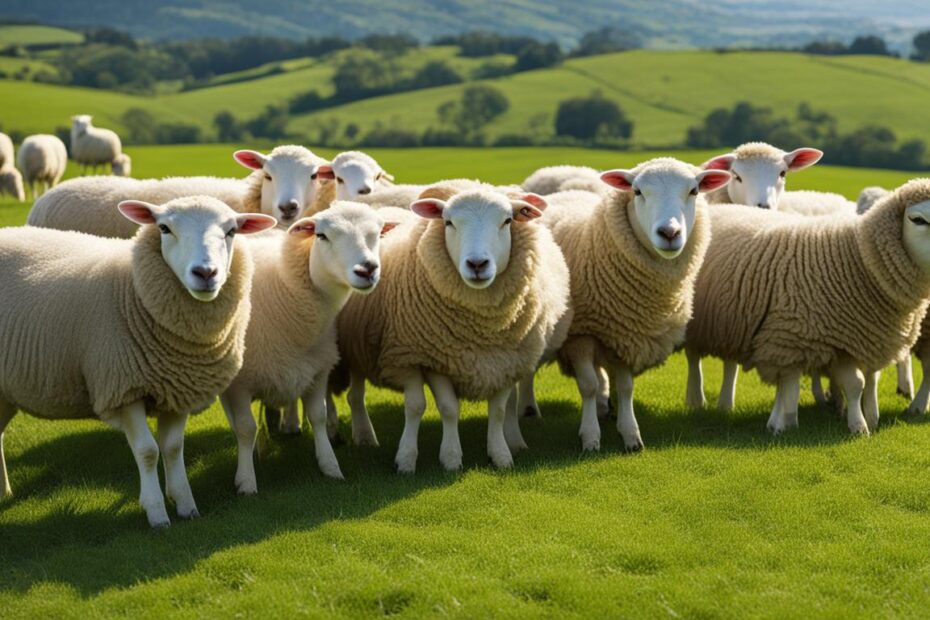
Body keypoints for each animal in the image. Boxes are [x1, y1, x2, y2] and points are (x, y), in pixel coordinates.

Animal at [0, 196, 276, 527]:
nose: (205, 273)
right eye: (164, 228)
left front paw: (185, 505)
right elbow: (147, 451)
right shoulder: (124, 388)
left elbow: (172, 447)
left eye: (232, 231)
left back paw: (4, 492)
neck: (134, 289)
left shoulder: (180, 388)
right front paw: (156, 513)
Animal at [222, 202, 397, 491]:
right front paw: (246, 481)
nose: (367, 270)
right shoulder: (240, 383)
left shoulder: (318, 370)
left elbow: (319, 416)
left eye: (378, 234)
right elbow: (246, 428)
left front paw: (330, 466)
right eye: (321, 235)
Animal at [335, 189, 571, 472]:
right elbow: (443, 408)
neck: (481, 331)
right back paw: (364, 435)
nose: (477, 264)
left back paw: (514, 440)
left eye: (507, 221)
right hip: (356, 348)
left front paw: (501, 455)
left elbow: (499, 410)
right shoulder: (430, 359)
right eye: (448, 222)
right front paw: (445, 458)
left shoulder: (505, 361)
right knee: (356, 396)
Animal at [536, 158, 729, 451]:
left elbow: (626, 387)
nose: (669, 233)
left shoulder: (626, 332)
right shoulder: (580, 334)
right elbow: (588, 385)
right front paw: (590, 436)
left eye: (694, 191)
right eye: (637, 191)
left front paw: (630, 434)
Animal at [685, 180, 930, 436]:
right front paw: (787, 423)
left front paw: (860, 423)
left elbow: (857, 383)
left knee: (730, 363)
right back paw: (697, 399)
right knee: (694, 358)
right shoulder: (791, 338)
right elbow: (792, 385)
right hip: (698, 321)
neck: (855, 261)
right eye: (918, 220)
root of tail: (720, 207)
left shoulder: (847, 341)